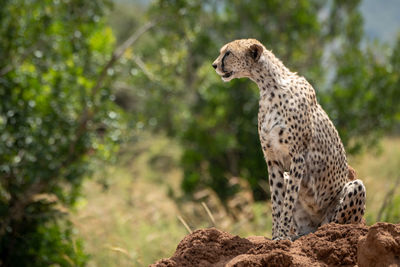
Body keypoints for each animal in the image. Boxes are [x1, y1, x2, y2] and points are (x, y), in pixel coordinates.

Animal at [212, 39, 366, 241]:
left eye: (228, 53)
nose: (214, 65)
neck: (268, 86)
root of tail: (313, 226)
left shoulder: (298, 156)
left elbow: (288, 199)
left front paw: (282, 235)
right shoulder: (272, 159)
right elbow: (277, 200)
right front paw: (275, 236)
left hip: (353, 189)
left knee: (333, 223)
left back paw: (324, 232)